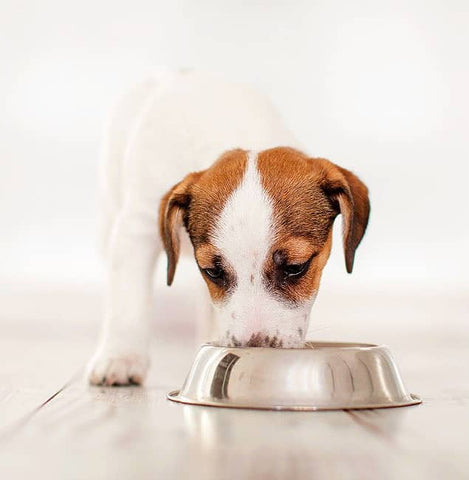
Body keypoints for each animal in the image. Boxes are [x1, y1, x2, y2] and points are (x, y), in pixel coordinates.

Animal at [86, 69, 368, 386]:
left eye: (296, 267)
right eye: (213, 271)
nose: (255, 348)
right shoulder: (138, 227)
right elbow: (128, 299)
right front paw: (120, 357)